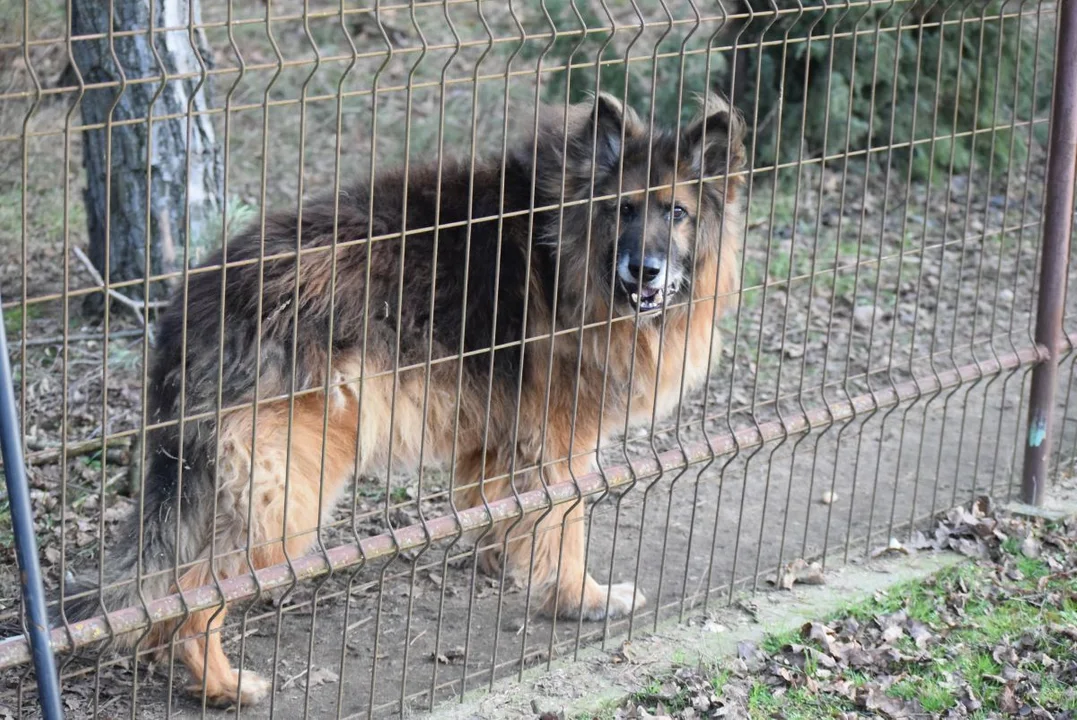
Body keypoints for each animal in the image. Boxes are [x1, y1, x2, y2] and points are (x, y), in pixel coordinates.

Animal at [63, 89, 745, 701]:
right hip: (290, 494)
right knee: (195, 597)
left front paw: (504, 565)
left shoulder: (501, 443)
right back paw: (227, 688)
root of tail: (195, 302)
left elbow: (506, 514)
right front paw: (584, 599)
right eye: (624, 210)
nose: (644, 271)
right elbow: (567, 527)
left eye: (676, 213)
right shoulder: (559, 449)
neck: (566, 249)